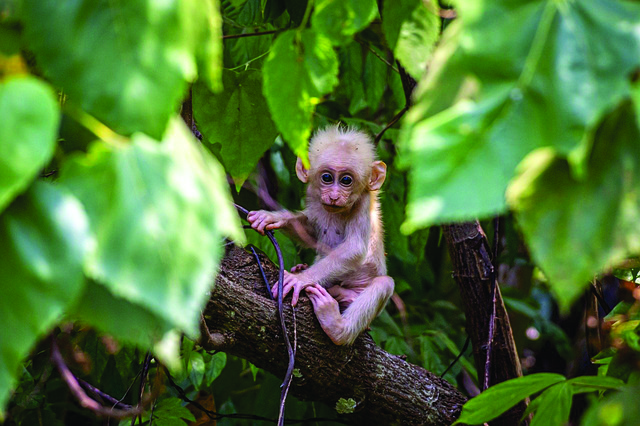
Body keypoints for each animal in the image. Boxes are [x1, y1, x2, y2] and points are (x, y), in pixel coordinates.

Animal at [248, 125, 392, 344]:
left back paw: (337, 327)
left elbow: (355, 248)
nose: (334, 196)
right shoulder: (314, 197)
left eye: (346, 180)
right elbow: (310, 232)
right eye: (327, 178)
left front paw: (300, 279)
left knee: (384, 283)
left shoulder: (364, 202)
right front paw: (273, 217)